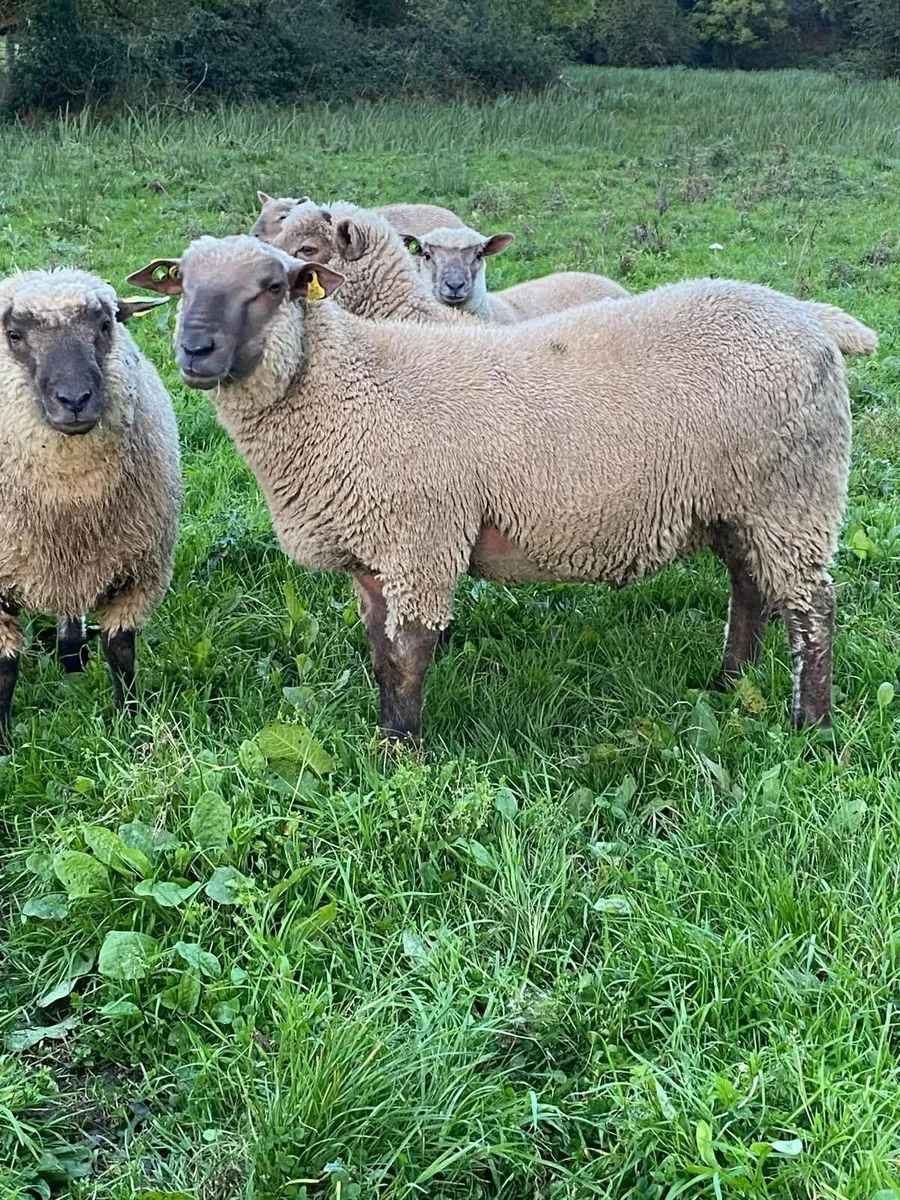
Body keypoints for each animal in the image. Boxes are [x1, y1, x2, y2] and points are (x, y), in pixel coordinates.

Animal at [0, 267, 182, 747]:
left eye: (105, 325)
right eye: (14, 335)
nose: (75, 399)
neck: (71, 499)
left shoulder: (139, 572)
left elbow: (121, 651)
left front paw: (131, 722)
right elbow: (5, 668)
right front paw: (3, 740)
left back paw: (71, 656)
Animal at [129, 234, 878, 746]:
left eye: (273, 285)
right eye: (181, 283)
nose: (195, 349)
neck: (347, 386)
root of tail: (808, 316)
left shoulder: (421, 540)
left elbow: (408, 657)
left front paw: (404, 760)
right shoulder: (377, 554)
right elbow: (380, 656)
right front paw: (387, 742)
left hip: (793, 493)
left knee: (813, 608)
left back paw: (811, 727)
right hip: (739, 500)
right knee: (750, 586)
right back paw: (729, 682)